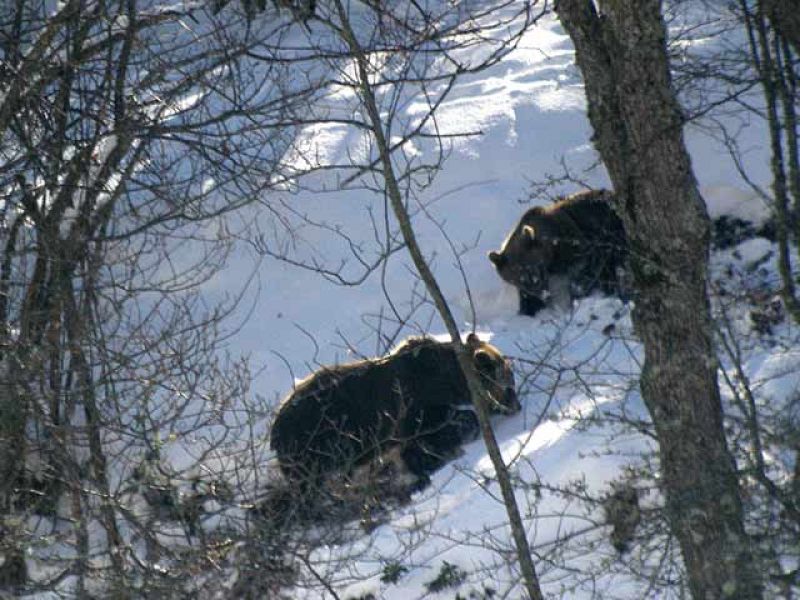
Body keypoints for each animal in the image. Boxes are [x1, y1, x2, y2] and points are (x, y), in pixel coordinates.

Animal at [269, 334, 519, 494]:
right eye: (509, 385)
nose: (517, 406)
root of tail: (274, 429)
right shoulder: (416, 407)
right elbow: (428, 436)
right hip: (311, 446)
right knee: (308, 486)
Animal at [489, 189, 629, 316]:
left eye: (535, 269)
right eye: (519, 278)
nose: (544, 295)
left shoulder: (578, 250)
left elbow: (583, 275)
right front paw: (528, 309)